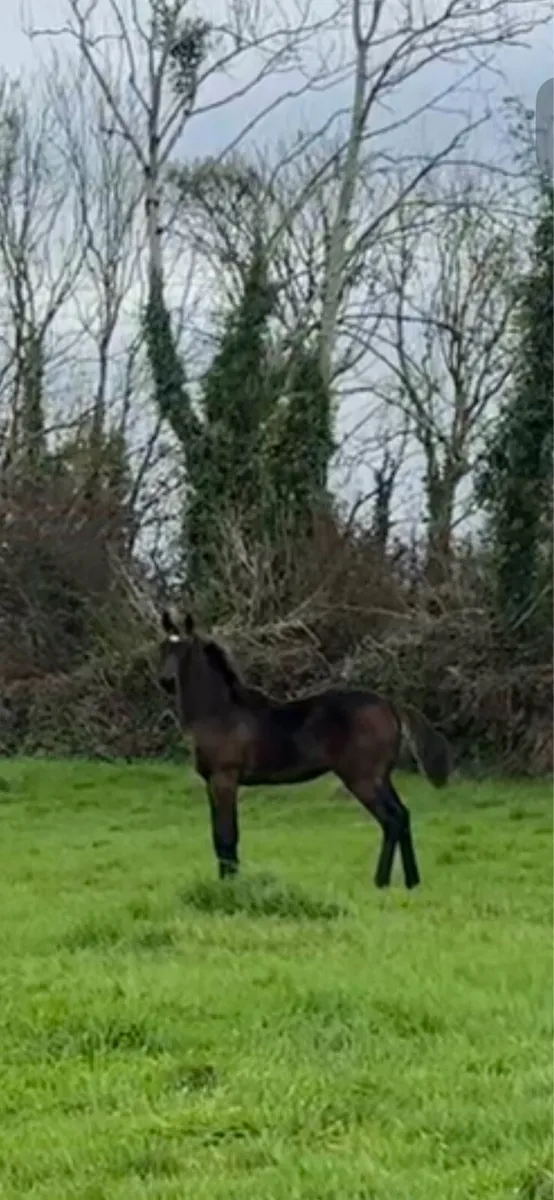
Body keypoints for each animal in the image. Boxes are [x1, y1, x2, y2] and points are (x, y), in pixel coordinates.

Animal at [157, 610, 451, 889]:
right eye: (163, 646)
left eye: (183, 649)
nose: (165, 681)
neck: (220, 712)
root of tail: (390, 705)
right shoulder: (211, 782)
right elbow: (219, 835)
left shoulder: (224, 779)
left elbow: (227, 835)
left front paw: (230, 885)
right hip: (381, 777)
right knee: (402, 816)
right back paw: (412, 882)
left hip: (362, 778)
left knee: (391, 820)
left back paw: (381, 882)